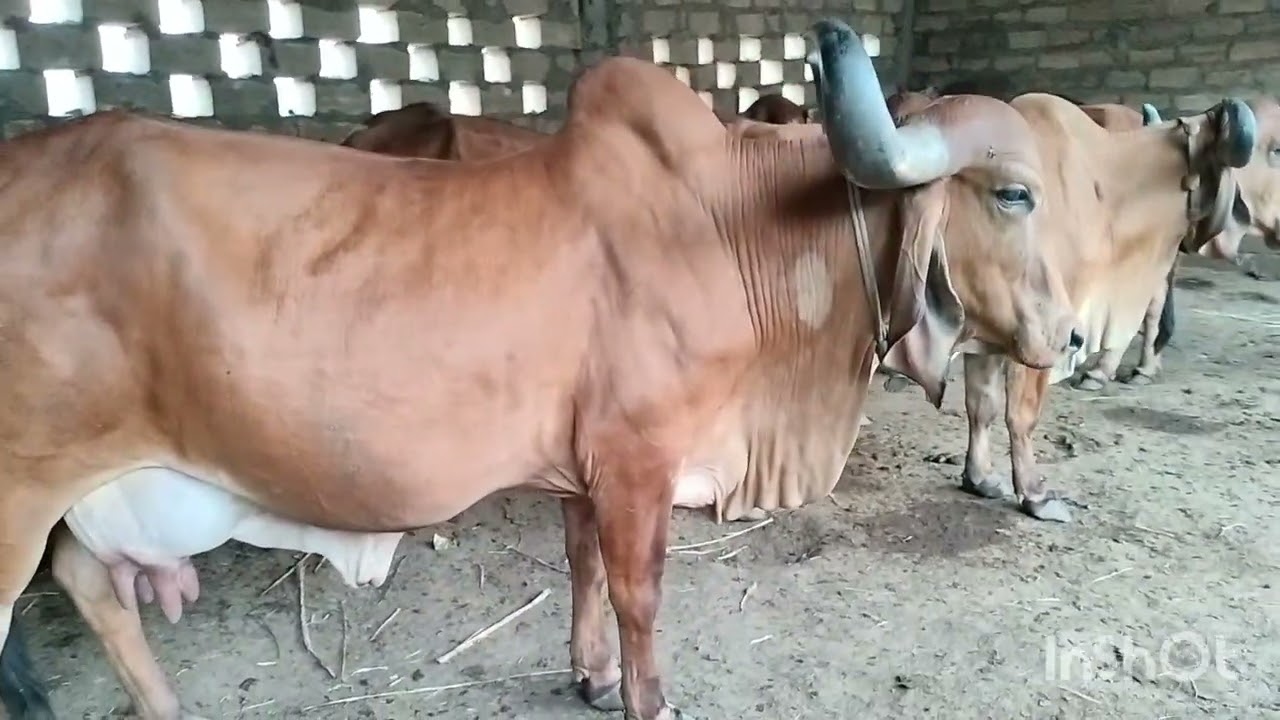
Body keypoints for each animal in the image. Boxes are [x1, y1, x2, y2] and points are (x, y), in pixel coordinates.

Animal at [0, 18, 1090, 720]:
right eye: (1012, 194)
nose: (1076, 339)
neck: (733, 229)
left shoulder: (583, 467)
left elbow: (583, 572)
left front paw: (591, 678)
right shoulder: (638, 462)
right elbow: (639, 594)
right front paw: (648, 701)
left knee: (93, 585)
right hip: (21, 497)